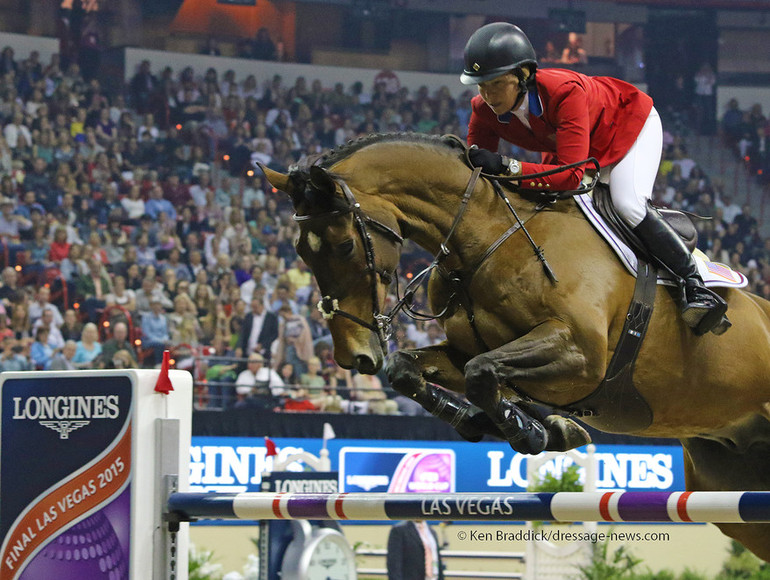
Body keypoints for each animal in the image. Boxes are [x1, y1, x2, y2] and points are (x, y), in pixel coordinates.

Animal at [260, 134, 768, 560]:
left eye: (345, 245)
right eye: (301, 252)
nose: (354, 355)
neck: (487, 237)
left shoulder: (581, 358)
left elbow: (483, 374)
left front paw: (533, 430)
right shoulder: (468, 350)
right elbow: (414, 370)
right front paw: (517, 424)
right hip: (730, 484)